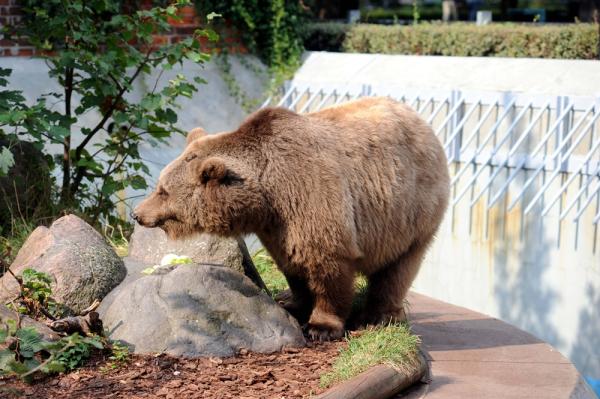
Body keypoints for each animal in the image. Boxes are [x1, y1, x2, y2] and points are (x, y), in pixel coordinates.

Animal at [134, 97, 448, 340]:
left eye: (163, 190)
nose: (138, 214)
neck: (266, 194)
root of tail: (421, 121)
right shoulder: (277, 226)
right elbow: (291, 264)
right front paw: (291, 301)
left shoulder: (313, 196)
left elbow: (328, 265)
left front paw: (321, 326)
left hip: (412, 211)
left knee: (398, 268)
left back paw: (379, 315)